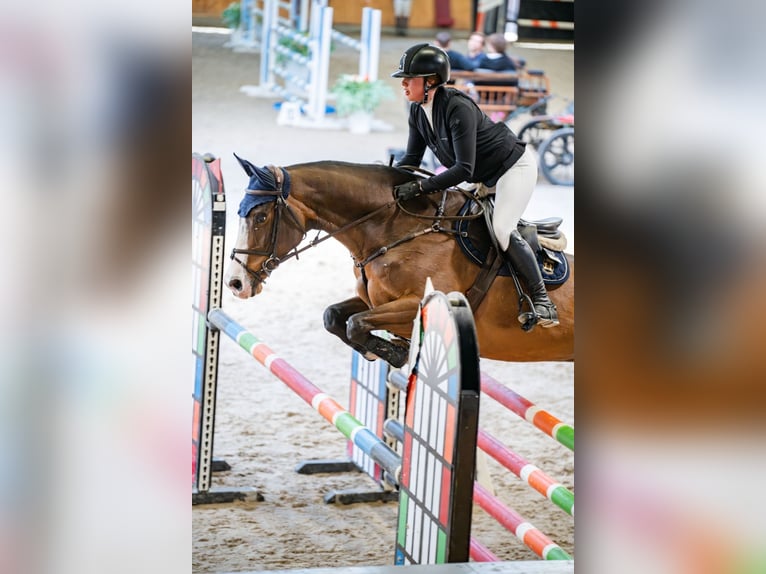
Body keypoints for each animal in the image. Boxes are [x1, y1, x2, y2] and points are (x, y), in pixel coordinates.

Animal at [224, 156, 574, 367]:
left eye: (260, 217)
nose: (236, 283)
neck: (395, 229)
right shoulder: (375, 300)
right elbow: (334, 316)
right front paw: (386, 350)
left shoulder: (418, 302)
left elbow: (355, 323)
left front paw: (395, 353)